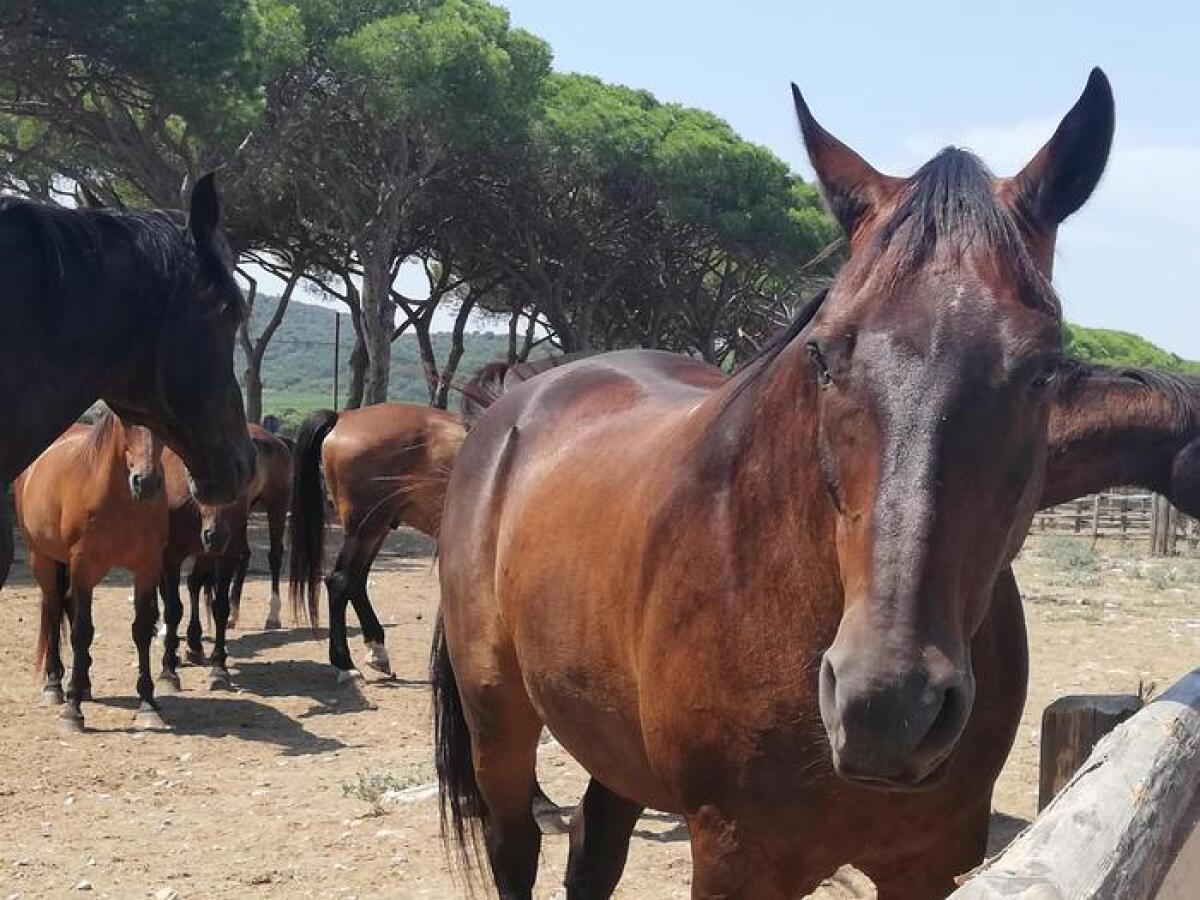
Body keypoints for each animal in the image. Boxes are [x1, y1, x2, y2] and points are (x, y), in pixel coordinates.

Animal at [15, 412, 169, 732]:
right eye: (128, 419)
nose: (146, 482)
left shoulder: (147, 566)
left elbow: (141, 629)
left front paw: (148, 703)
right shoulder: (83, 564)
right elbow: (81, 631)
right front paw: (72, 711)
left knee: (67, 606)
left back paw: (83, 682)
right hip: (43, 559)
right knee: (53, 610)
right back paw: (55, 686)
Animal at [288, 404, 466, 681]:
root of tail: (343, 417)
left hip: (378, 527)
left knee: (356, 581)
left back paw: (376, 650)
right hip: (366, 527)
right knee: (340, 581)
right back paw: (345, 663)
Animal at [432, 69, 1114, 899]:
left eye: (1046, 368)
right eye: (822, 354)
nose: (887, 707)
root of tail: (512, 404)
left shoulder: (934, 855)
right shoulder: (737, 856)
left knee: (594, 847)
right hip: (497, 718)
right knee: (515, 844)